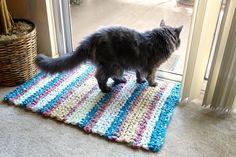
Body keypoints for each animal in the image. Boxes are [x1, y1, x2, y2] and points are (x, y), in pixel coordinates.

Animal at [35, 20, 183, 92]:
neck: (160, 38)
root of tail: (92, 38)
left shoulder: (139, 64)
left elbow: (139, 73)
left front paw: (140, 81)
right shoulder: (152, 67)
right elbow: (151, 76)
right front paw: (152, 83)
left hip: (116, 65)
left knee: (108, 76)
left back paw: (120, 80)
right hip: (113, 65)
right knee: (100, 77)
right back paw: (106, 89)